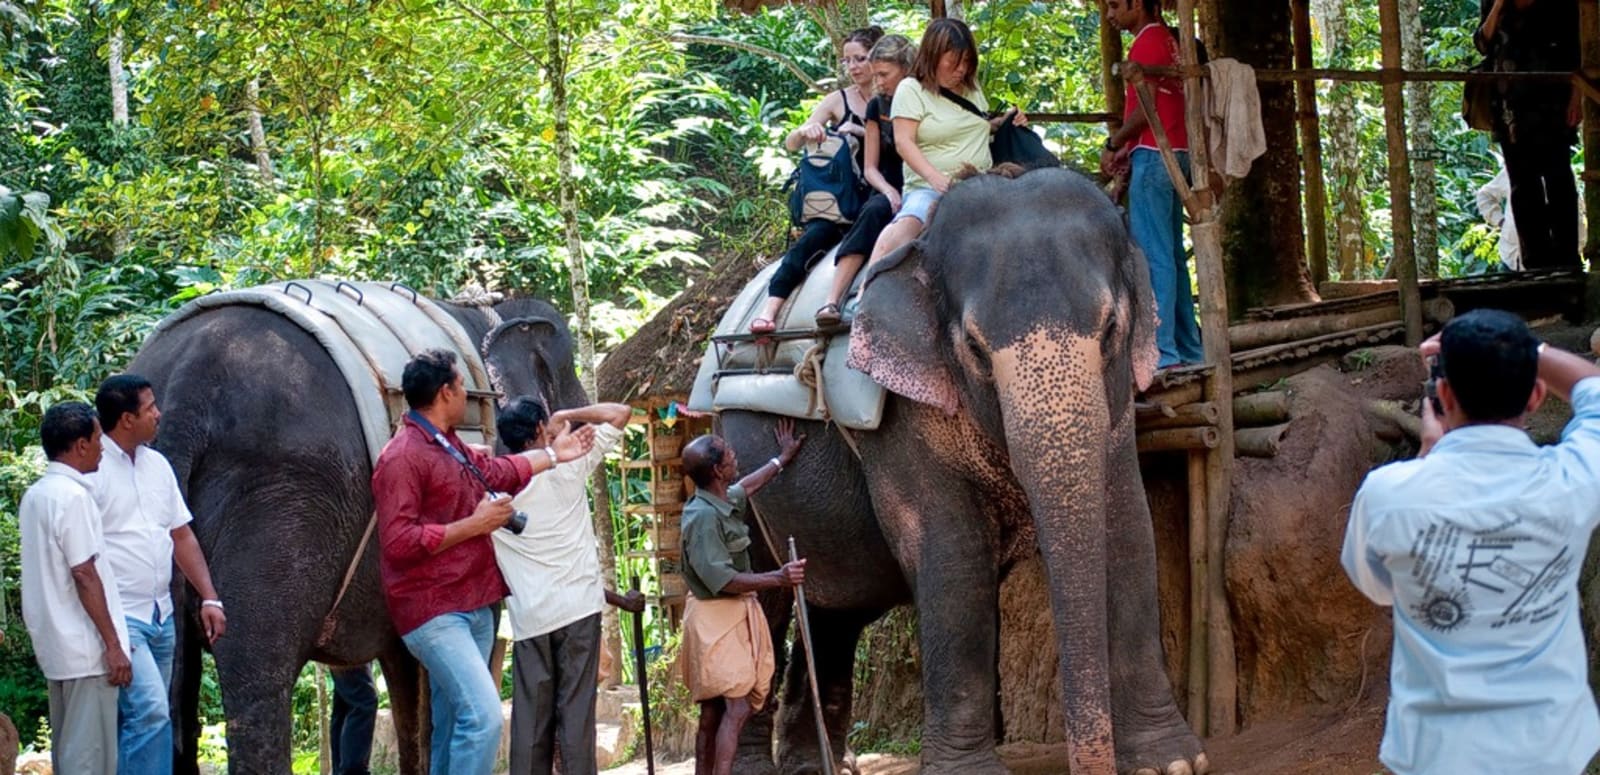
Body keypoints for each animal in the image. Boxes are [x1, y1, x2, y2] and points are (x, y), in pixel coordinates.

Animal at [720, 168, 1203, 775]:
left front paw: (1170, 763)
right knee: (763, 599)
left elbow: (1129, 530)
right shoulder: (904, 415)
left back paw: (812, 766)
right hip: (733, 455)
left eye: (1111, 328)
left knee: (839, 609)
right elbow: (954, 555)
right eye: (974, 347)